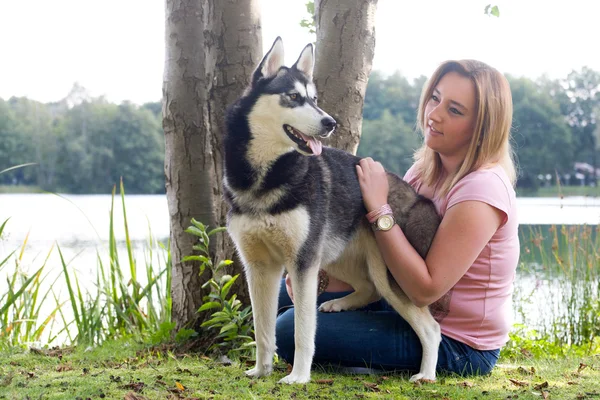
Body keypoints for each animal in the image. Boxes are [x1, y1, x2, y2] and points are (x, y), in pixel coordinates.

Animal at [223, 38, 442, 384]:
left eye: (314, 99)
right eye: (293, 97)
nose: (330, 122)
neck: (266, 176)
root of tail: (418, 198)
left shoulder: (302, 264)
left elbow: (301, 331)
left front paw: (298, 377)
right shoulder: (259, 266)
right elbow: (262, 331)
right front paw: (261, 370)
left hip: (388, 274)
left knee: (431, 329)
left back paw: (426, 374)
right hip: (338, 256)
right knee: (367, 288)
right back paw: (341, 303)